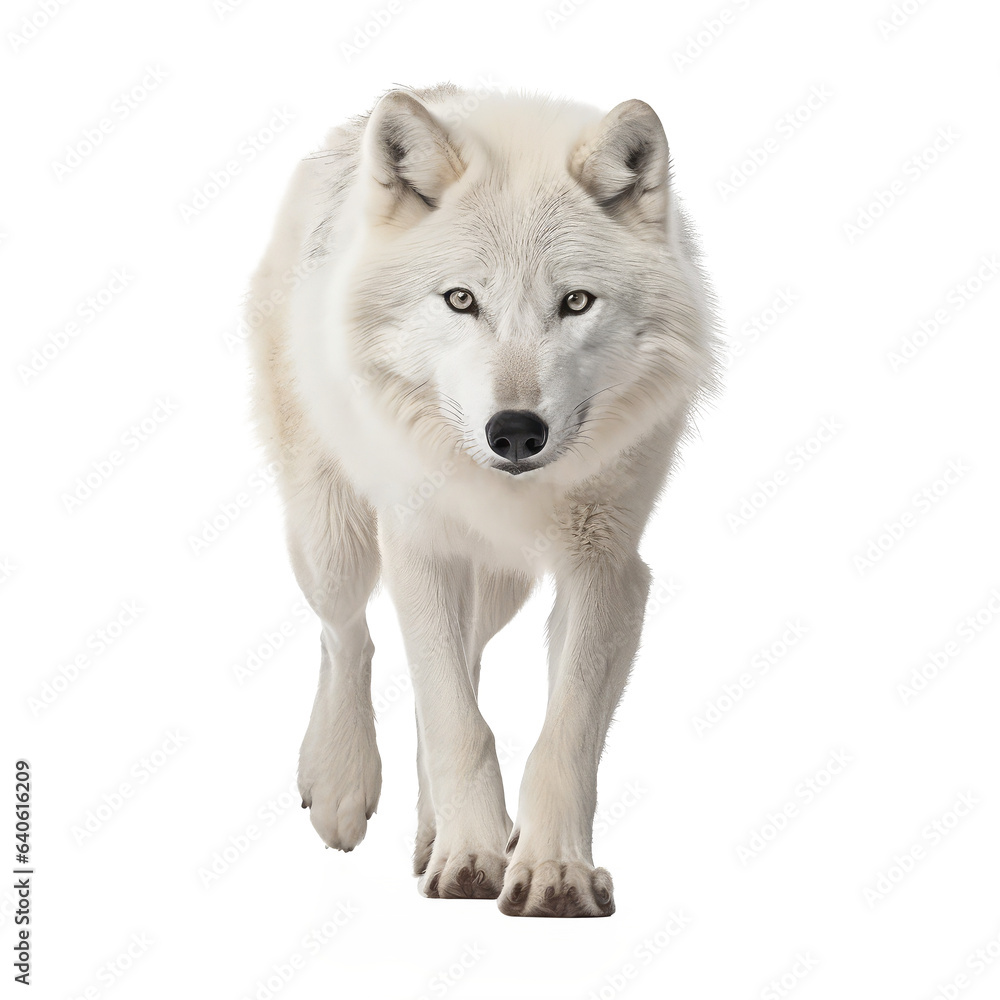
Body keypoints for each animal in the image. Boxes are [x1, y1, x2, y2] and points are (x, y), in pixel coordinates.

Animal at [246, 83, 718, 917]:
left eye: (576, 302)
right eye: (461, 299)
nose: (516, 431)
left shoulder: (610, 569)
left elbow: (557, 736)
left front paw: (551, 872)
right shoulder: (421, 548)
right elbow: (456, 725)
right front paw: (471, 857)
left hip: (499, 589)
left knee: (455, 665)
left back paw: (435, 830)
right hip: (334, 542)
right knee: (349, 638)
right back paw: (339, 785)